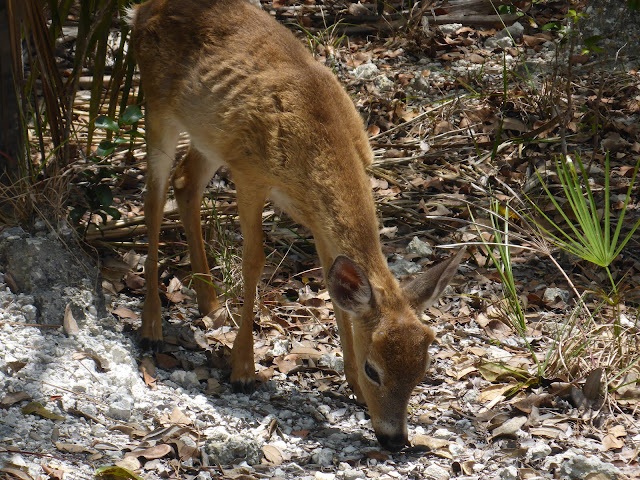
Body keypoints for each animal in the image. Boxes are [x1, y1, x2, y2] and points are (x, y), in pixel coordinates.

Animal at [130, 0, 462, 452]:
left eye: (422, 371)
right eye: (374, 369)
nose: (395, 440)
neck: (315, 143)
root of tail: (140, 11)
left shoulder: (316, 217)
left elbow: (333, 288)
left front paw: (351, 387)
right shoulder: (250, 173)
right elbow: (254, 261)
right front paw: (243, 370)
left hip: (209, 135)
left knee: (185, 183)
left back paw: (210, 305)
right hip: (157, 106)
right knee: (153, 197)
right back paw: (151, 327)